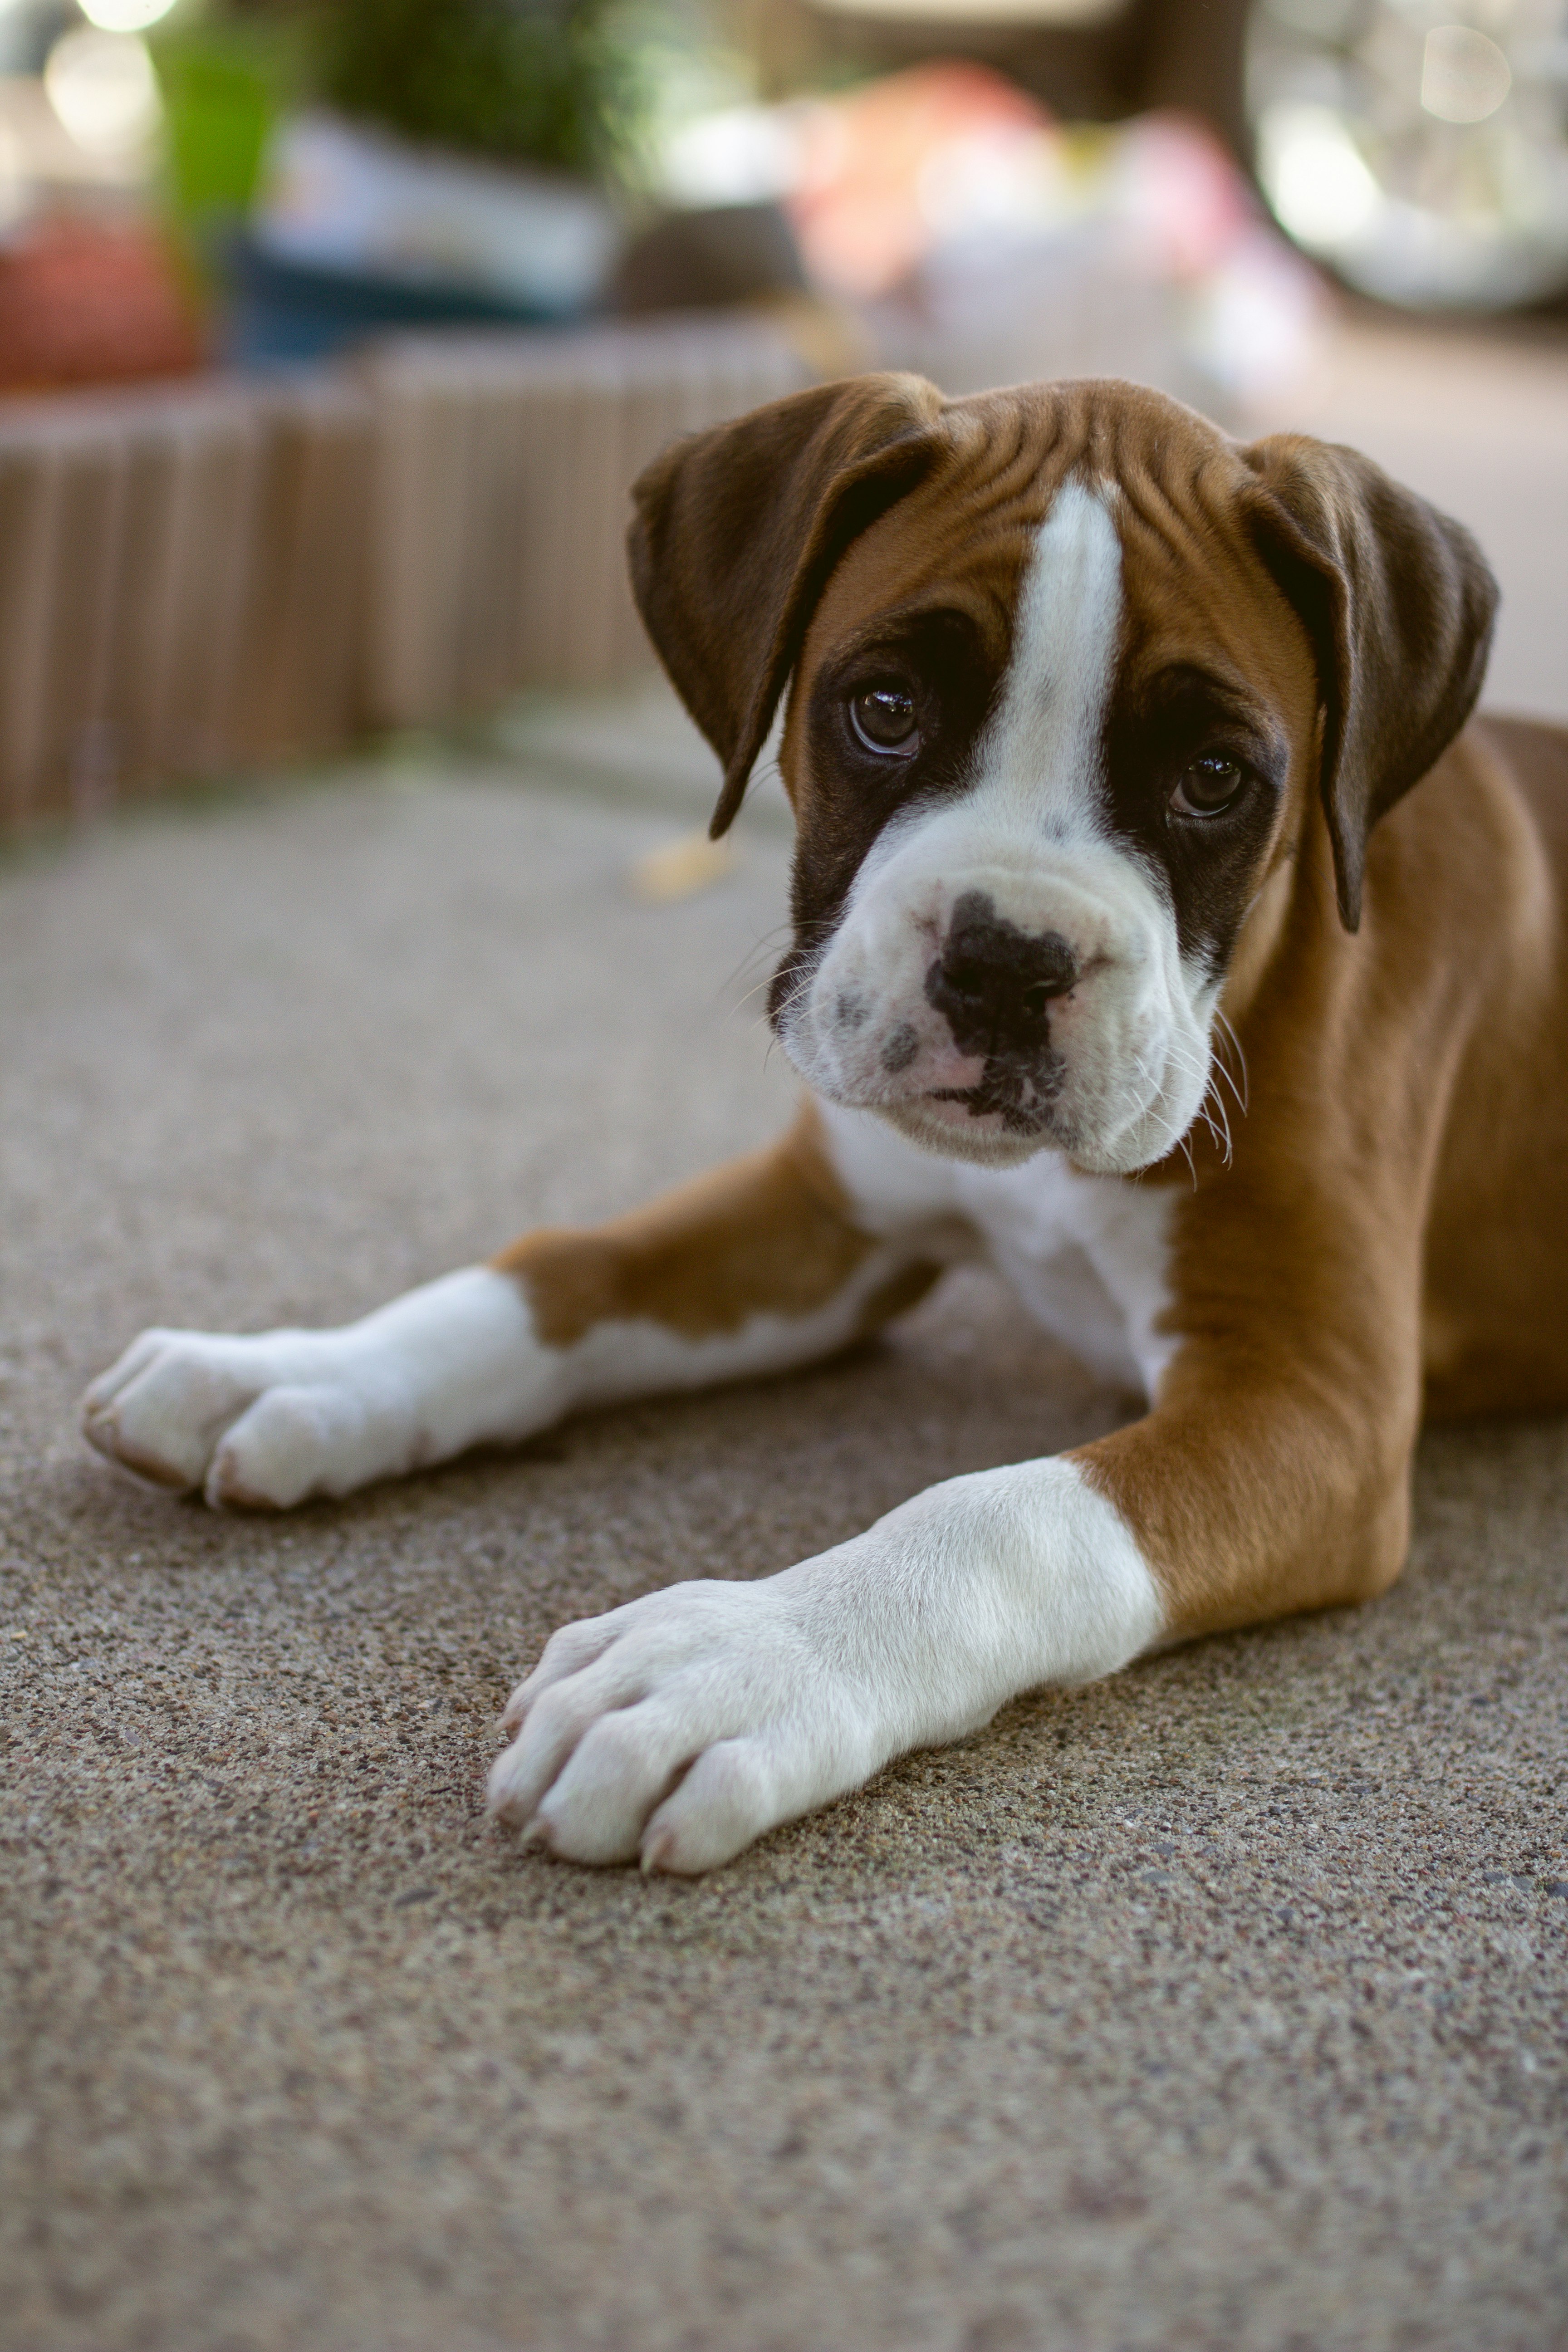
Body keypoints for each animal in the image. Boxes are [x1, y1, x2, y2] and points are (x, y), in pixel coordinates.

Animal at [83, 372, 1568, 1872]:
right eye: (887, 707)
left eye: (1214, 778)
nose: (1007, 960)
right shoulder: (825, 1220)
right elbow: (565, 1270)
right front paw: (300, 1369)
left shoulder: (1317, 1406)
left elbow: (1004, 1515)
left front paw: (734, 1666)